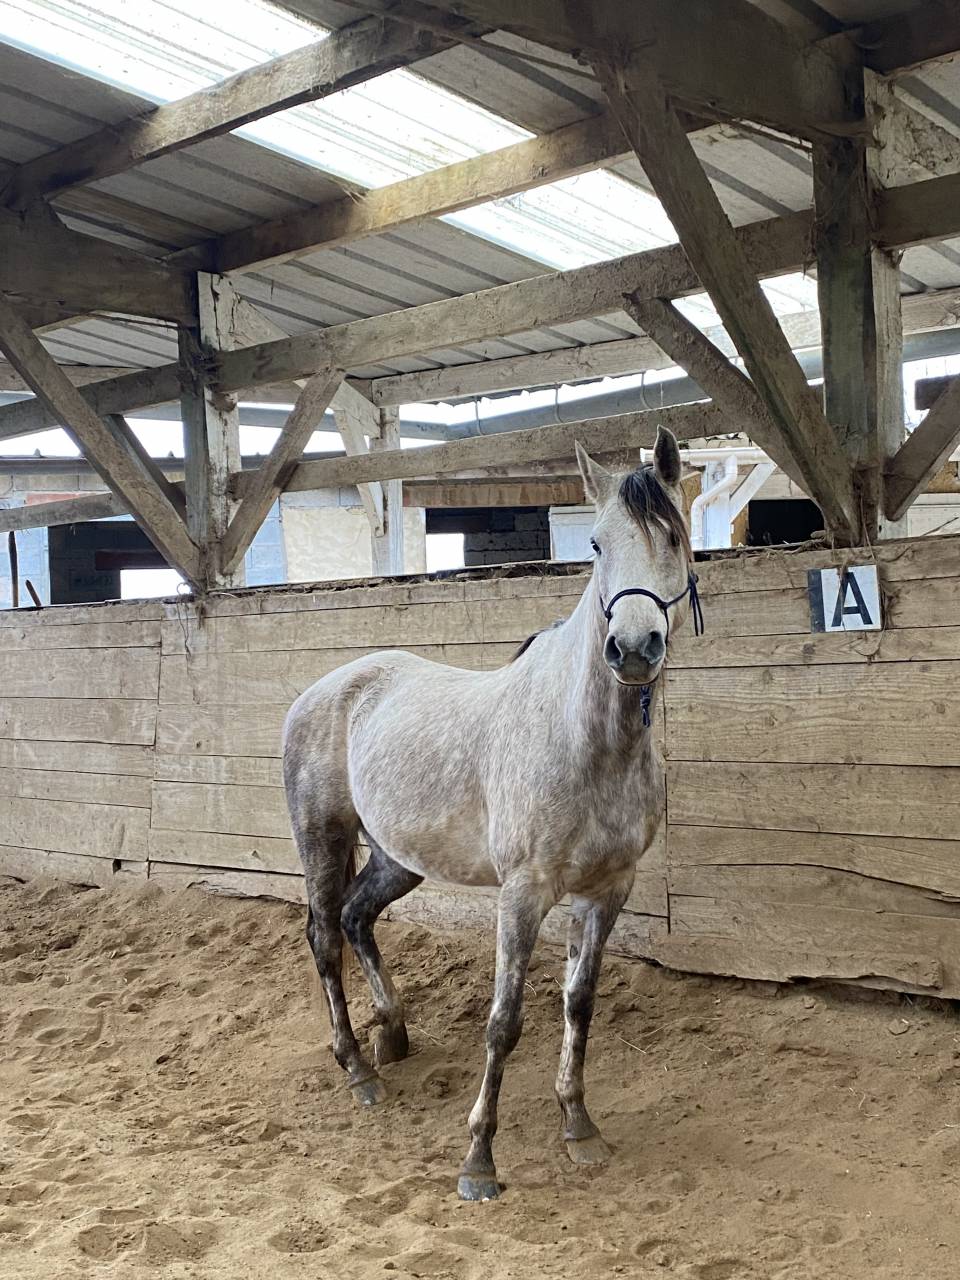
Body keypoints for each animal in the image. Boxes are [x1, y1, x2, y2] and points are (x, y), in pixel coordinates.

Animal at [282, 426, 702, 1201]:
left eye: (675, 535)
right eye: (596, 543)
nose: (632, 648)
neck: (584, 740)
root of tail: (325, 689)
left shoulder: (608, 891)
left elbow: (578, 1003)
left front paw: (579, 1126)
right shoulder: (523, 894)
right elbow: (504, 1021)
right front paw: (479, 1159)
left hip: (399, 858)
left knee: (357, 917)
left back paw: (393, 1033)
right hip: (321, 839)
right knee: (324, 936)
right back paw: (357, 1069)